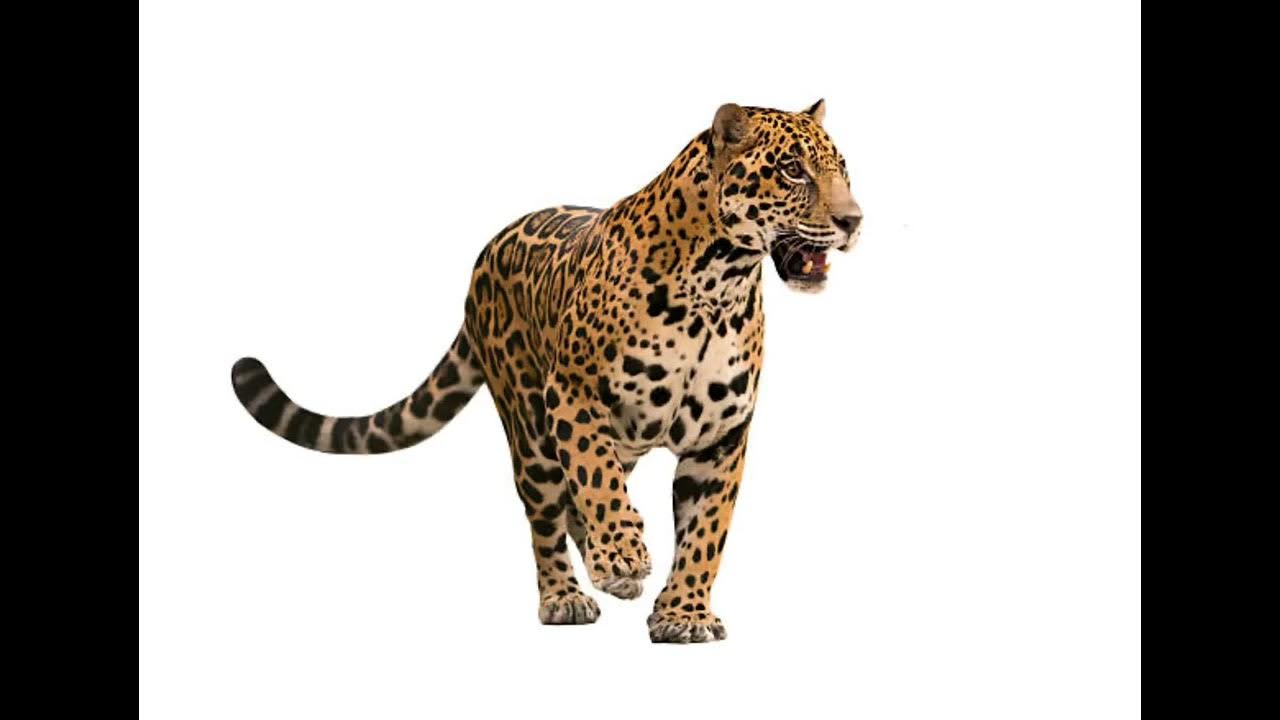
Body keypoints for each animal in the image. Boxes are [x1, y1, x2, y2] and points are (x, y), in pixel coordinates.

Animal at [231, 100, 863, 643]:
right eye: (793, 171)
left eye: (843, 171)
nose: (853, 221)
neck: (719, 286)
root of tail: (485, 256)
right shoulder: (574, 395)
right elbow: (597, 480)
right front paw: (624, 553)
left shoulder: (722, 435)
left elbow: (706, 532)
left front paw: (683, 612)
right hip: (531, 428)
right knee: (548, 511)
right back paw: (568, 593)